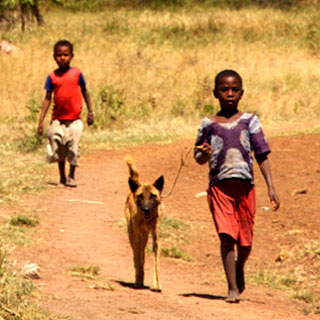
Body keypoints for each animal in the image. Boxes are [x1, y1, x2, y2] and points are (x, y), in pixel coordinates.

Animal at [124, 156, 165, 292]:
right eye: (141, 196)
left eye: (152, 196)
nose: (146, 209)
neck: (146, 219)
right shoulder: (136, 236)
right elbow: (138, 259)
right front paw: (138, 280)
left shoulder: (156, 238)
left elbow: (156, 264)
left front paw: (156, 285)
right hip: (134, 235)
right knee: (137, 257)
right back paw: (139, 279)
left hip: (145, 237)